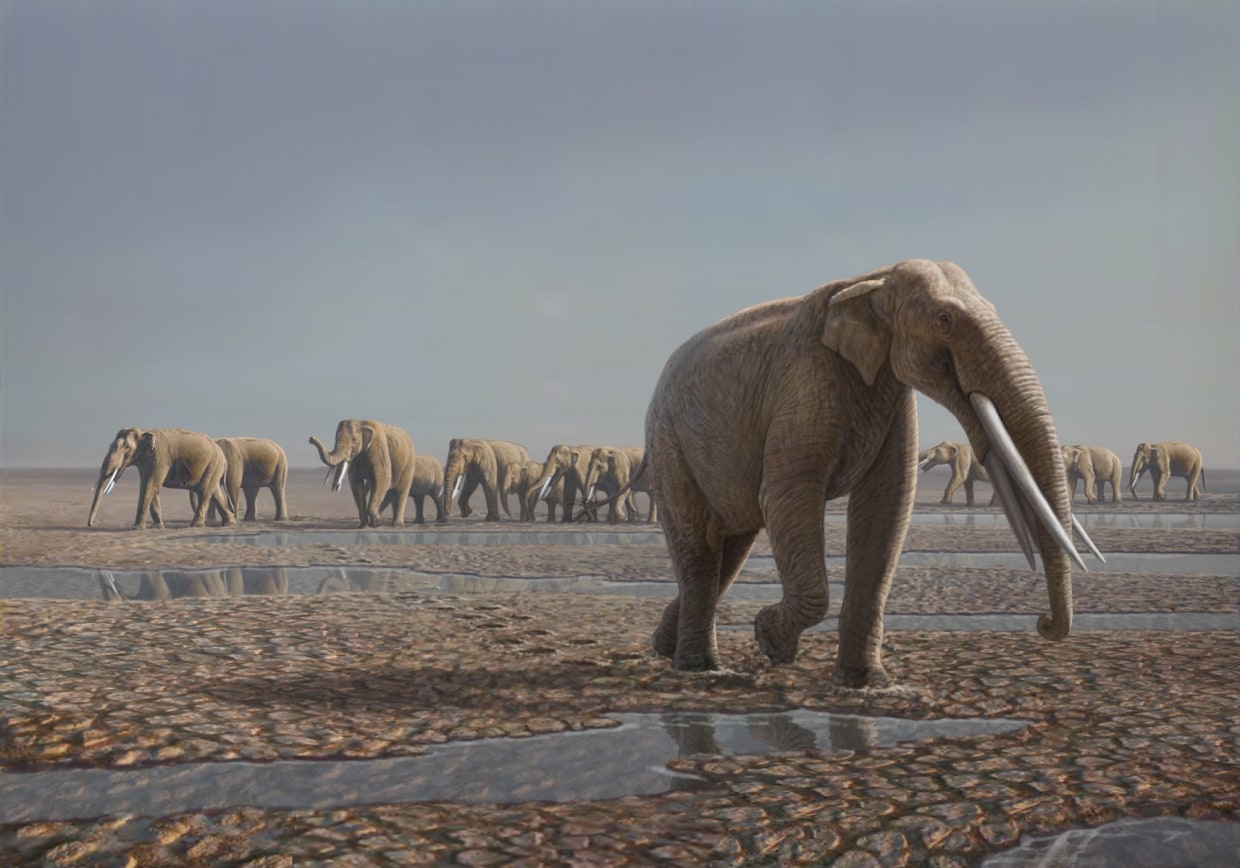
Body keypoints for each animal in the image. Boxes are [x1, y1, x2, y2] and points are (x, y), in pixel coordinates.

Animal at [88, 428, 235, 529]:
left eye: (127, 448)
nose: (91, 525)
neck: (144, 431)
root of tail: (223, 457)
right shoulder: (146, 462)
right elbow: (149, 486)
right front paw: (157, 527)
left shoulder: (160, 459)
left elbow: (150, 485)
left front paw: (136, 528)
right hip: (213, 468)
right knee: (214, 492)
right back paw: (229, 523)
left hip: (213, 465)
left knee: (204, 491)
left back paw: (195, 525)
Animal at [644, 259, 1101, 683]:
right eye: (944, 319)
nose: (1043, 623)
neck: (874, 278)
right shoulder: (806, 380)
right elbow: (787, 495)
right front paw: (770, 642)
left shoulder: (891, 393)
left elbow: (886, 505)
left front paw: (865, 684)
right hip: (668, 444)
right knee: (700, 546)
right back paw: (699, 670)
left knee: (731, 546)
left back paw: (665, 647)